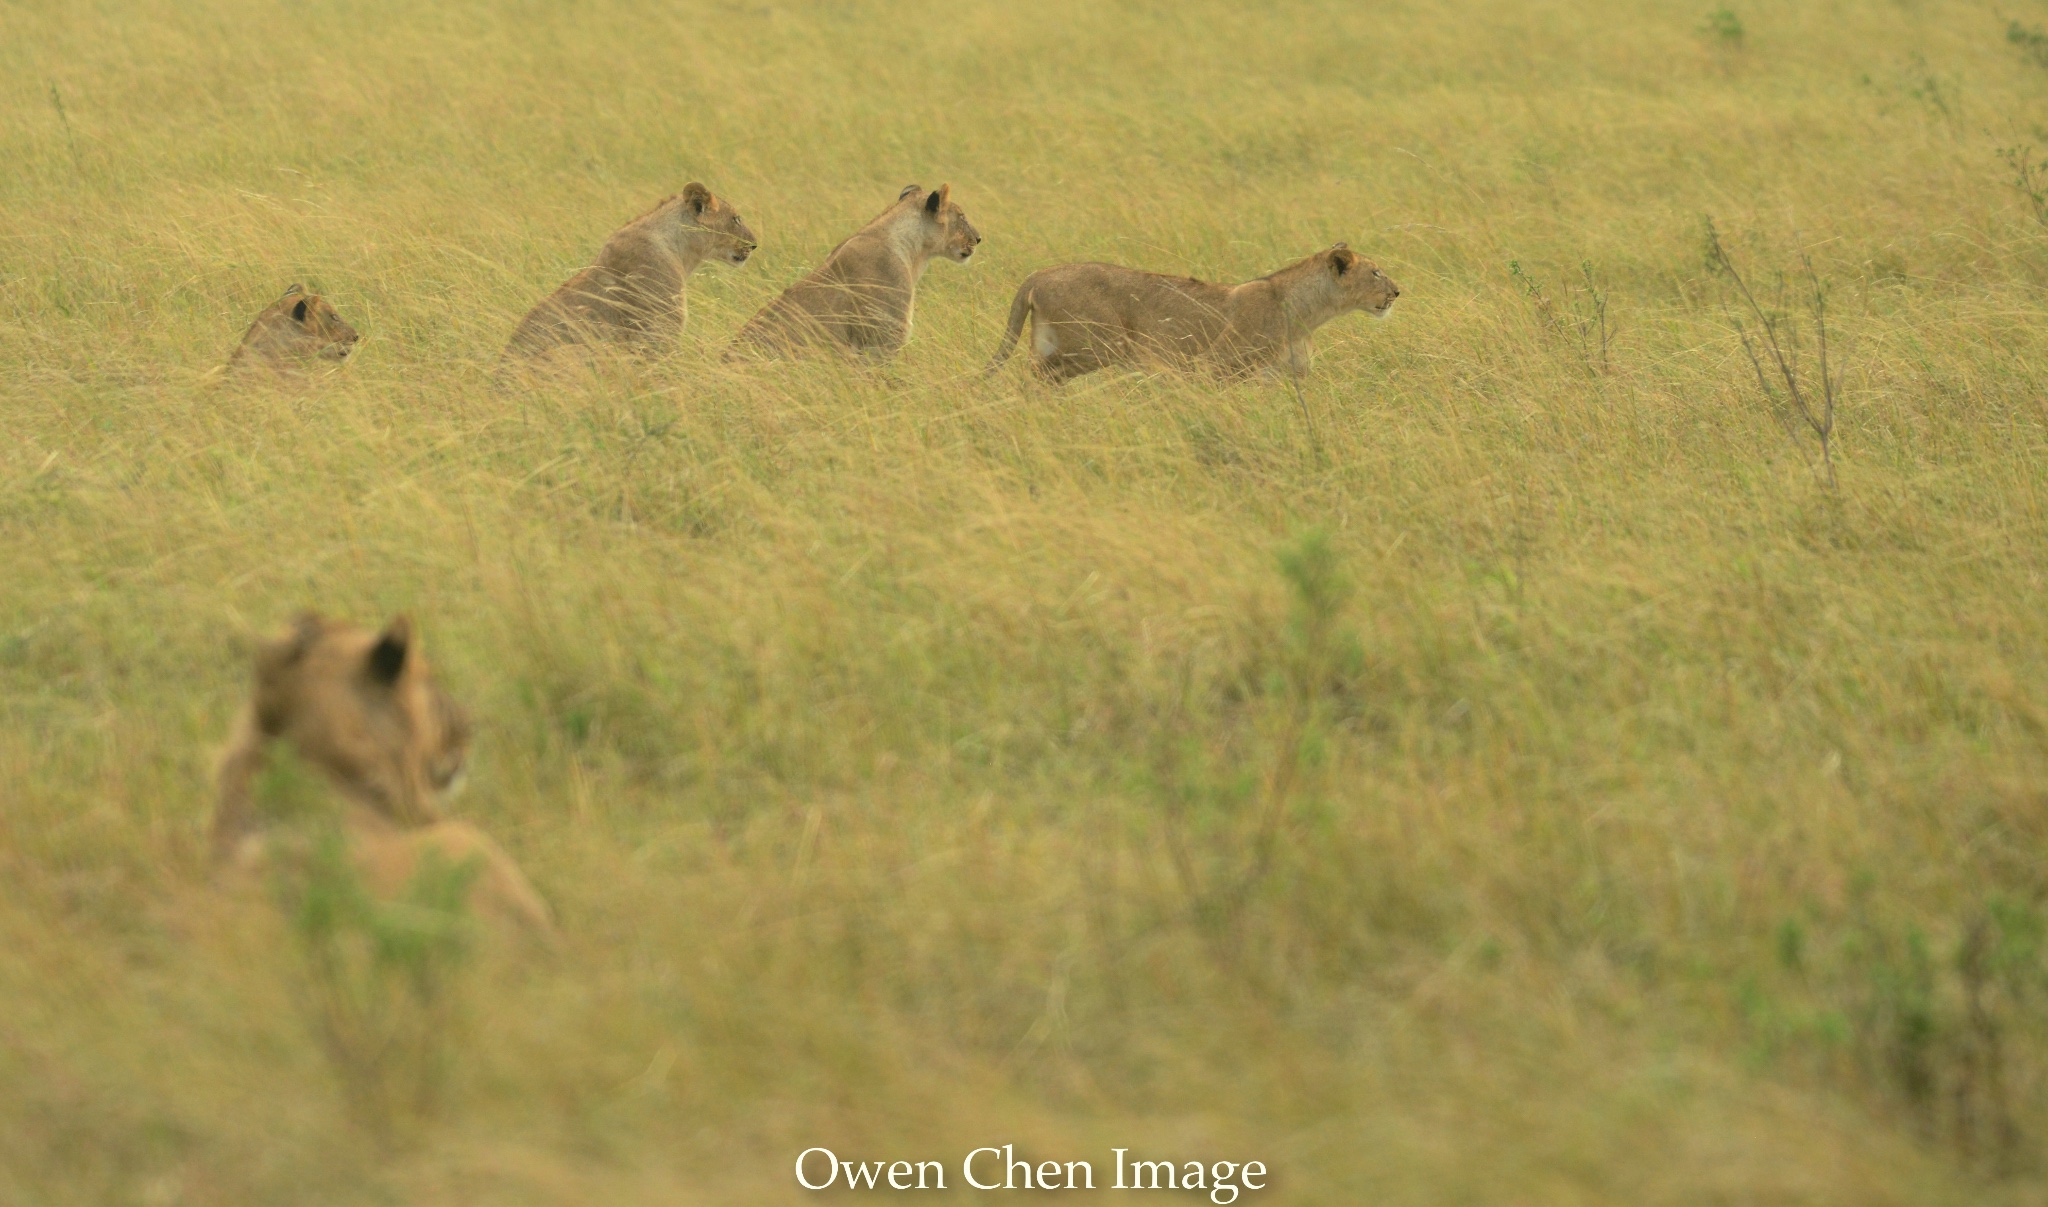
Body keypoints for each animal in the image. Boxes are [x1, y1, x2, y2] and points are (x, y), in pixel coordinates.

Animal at [978, 240, 1400, 381]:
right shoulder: (1214, 366)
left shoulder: (1290, 378)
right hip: (1099, 346)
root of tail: (1037, 274)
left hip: (1050, 341)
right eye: (1376, 272)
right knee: (1039, 375)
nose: (1398, 291)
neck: (1307, 315)